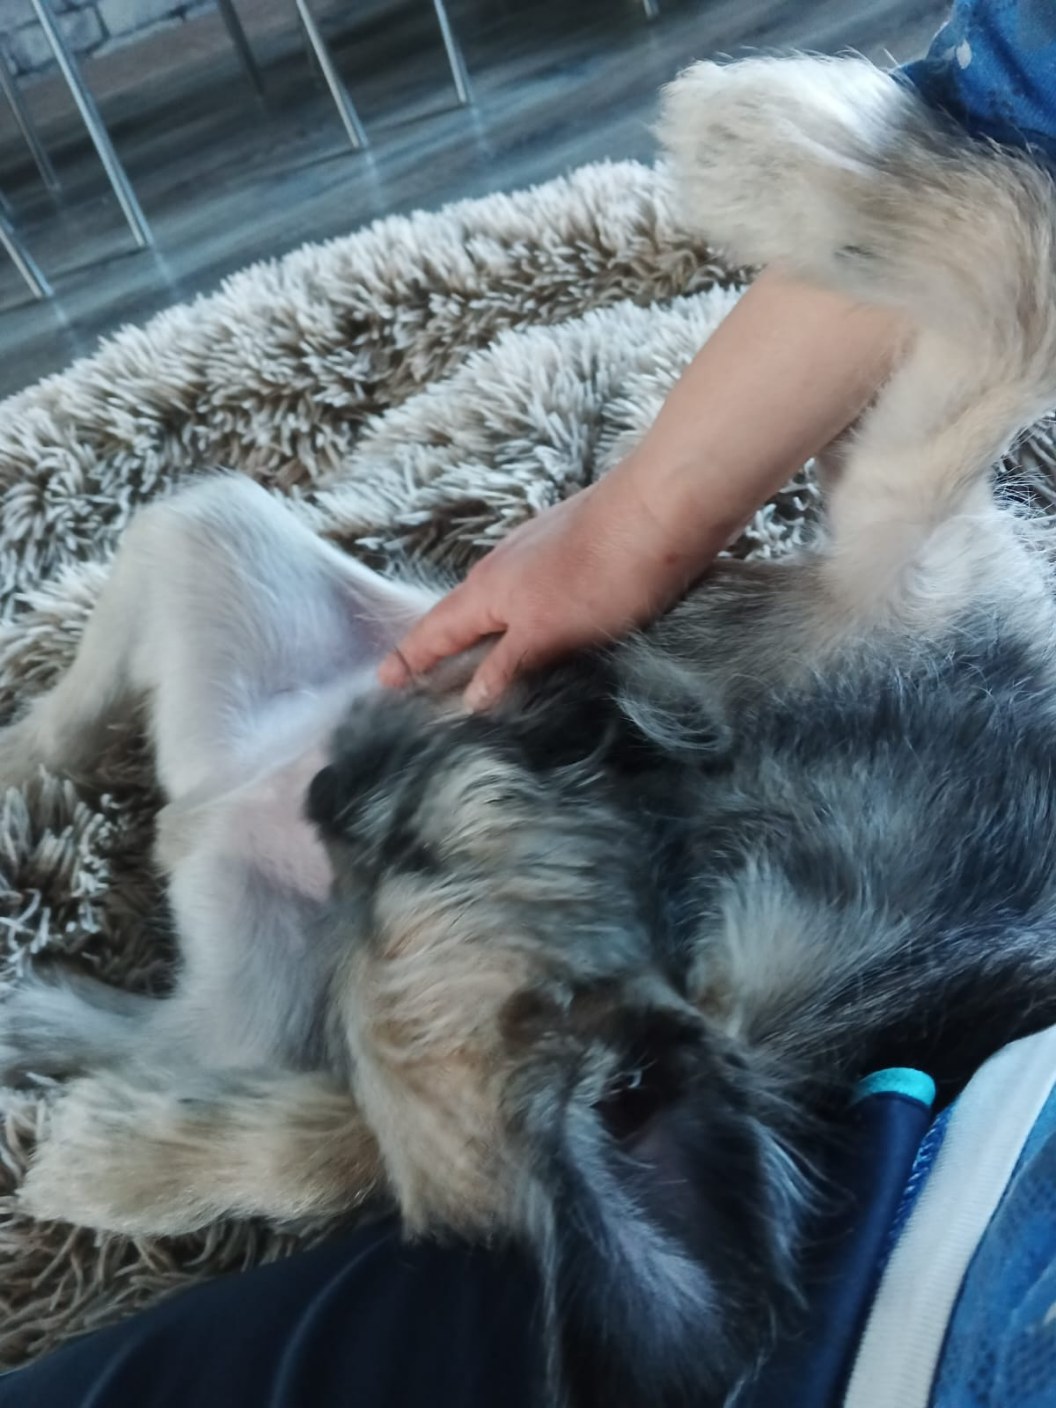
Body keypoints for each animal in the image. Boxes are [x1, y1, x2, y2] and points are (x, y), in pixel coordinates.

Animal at [3, 53, 1056, 1408]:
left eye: (405, 856)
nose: (329, 785)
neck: (689, 830)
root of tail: (209, 809)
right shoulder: (906, 545)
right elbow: (1007, 276)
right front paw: (772, 136)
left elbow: (1006, 276)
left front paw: (768, 140)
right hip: (237, 554)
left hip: (230, 892)